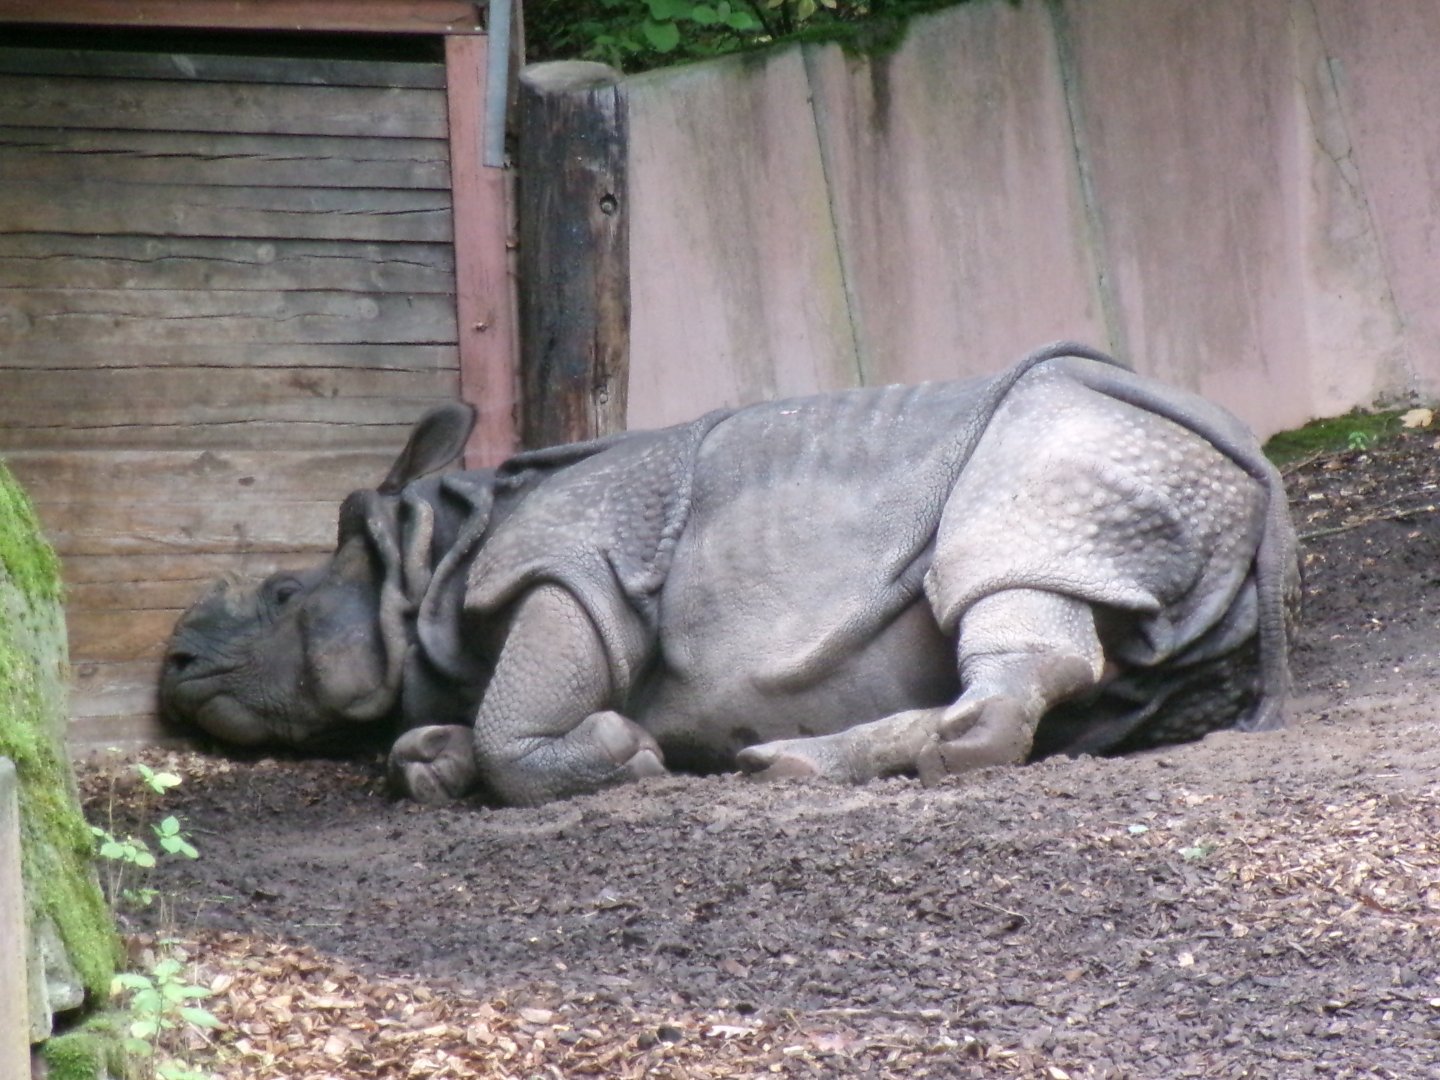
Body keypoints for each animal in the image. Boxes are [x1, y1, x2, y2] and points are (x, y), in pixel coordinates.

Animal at [160, 343, 1298, 807]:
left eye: (281, 598)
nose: (172, 665)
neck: (427, 559)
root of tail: (1257, 469)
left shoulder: (572, 564)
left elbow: (519, 712)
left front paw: (623, 757)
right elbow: (450, 732)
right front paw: (433, 764)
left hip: (1070, 451)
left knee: (1006, 572)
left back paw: (796, 766)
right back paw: (790, 763)